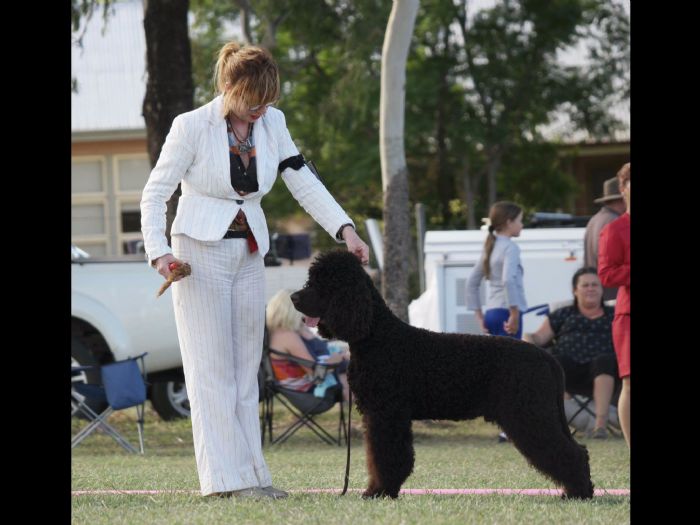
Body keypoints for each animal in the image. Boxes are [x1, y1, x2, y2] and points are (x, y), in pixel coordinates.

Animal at [291, 250, 594, 499]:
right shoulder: (383, 415)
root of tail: (547, 358)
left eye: (323, 283)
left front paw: (379, 491)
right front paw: (381, 490)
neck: (377, 335)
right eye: (311, 279)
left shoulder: (386, 413)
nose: (294, 297)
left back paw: (578, 493)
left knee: (570, 452)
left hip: (530, 413)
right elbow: (382, 457)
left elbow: (387, 457)